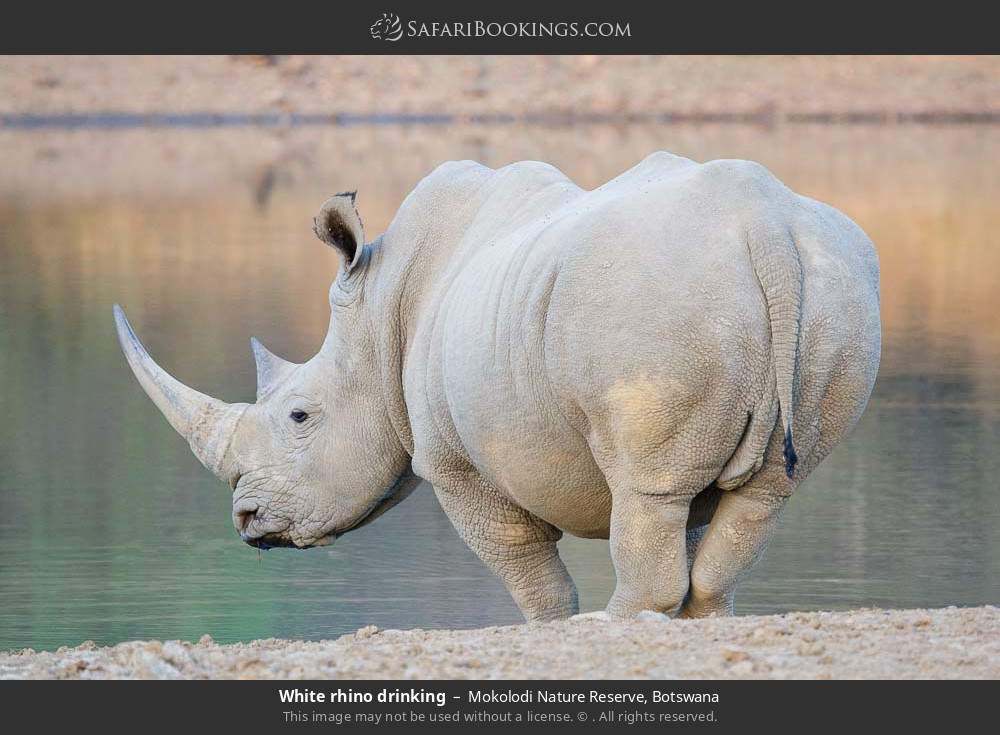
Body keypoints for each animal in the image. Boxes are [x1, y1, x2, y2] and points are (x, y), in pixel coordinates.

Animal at [117, 154, 880, 620]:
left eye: (300, 416)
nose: (249, 522)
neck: (378, 312)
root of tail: (765, 224)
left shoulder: (454, 461)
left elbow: (531, 574)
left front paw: (561, 628)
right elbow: (690, 531)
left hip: (654, 297)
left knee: (646, 489)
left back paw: (613, 622)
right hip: (832, 292)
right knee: (765, 493)